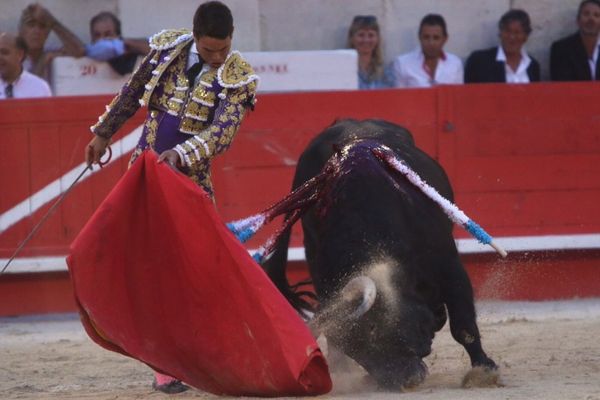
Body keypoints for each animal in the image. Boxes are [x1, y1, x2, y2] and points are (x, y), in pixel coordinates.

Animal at [262, 119, 496, 388]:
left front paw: (484, 370)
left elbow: (463, 325)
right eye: (358, 352)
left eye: (376, 330)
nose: (406, 380)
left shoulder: (449, 265)